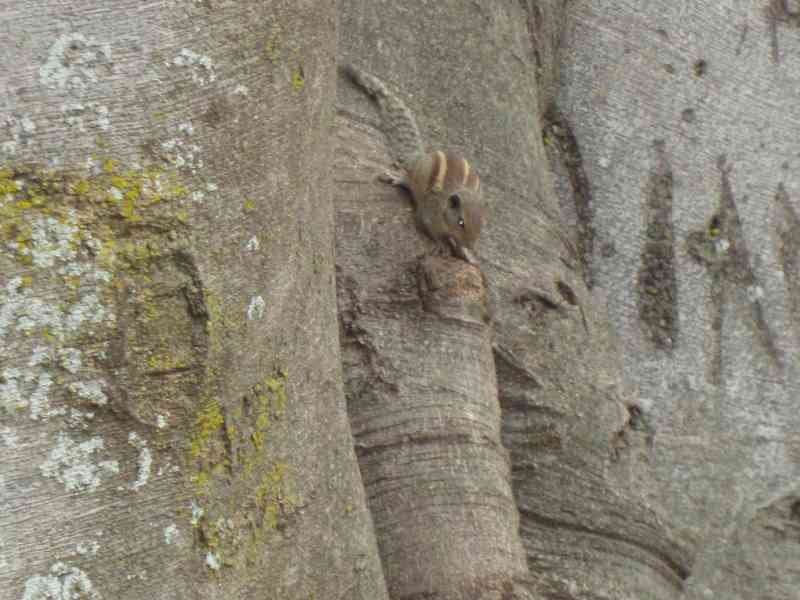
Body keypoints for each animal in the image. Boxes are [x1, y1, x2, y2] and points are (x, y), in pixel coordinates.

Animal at [341, 64, 484, 264]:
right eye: (461, 222)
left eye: (481, 225)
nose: (470, 245)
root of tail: (420, 157)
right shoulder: (429, 213)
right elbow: (430, 229)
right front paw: (442, 245)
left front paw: (466, 254)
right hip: (417, 178)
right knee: (408, 178)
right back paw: (397, 177)